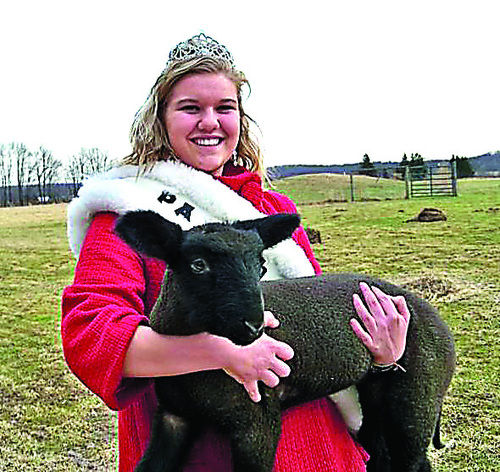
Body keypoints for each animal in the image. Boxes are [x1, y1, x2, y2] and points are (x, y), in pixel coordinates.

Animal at [114, 211, 458, 472]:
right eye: (198, 264)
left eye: (261, 267)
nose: (254, 325)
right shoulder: (174, 416)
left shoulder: (256, 422)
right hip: (376, 391)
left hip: (419, 395)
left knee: (413, 460)